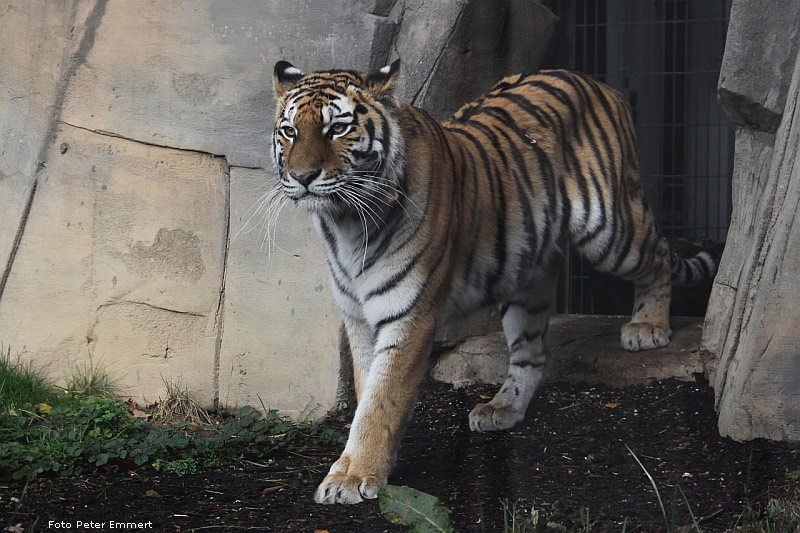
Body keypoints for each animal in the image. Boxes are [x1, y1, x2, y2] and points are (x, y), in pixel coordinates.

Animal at [268, 59, 720, 502]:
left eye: (337, 129)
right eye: (289, 131)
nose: (303, 176)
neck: (345, 224)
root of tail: (595, 82)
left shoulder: (410, 314)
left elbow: (383, 399)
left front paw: (353, 476)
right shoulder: (358, 318)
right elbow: (368, 392)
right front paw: (365, 466)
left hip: (611, 229)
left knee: (658, 256)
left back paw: (648, 327)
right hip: (527, 275)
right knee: (531, 354)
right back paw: (502, 408)